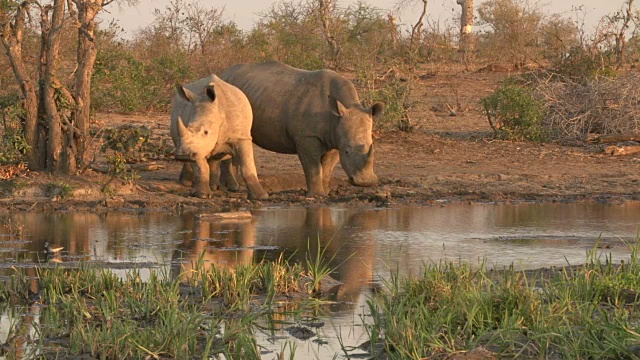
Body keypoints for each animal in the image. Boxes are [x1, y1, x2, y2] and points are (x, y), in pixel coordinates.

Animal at [220, 62, 384, 197]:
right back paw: (232, 188)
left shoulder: (334, 136)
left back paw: (232, 187)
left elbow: (327, 168)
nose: (366, 182)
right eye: (347, 152)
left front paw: (325, 193)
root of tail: (225, 72)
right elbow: (313, 166)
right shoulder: (307, 136)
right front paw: (316, 196)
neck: (338, 116)